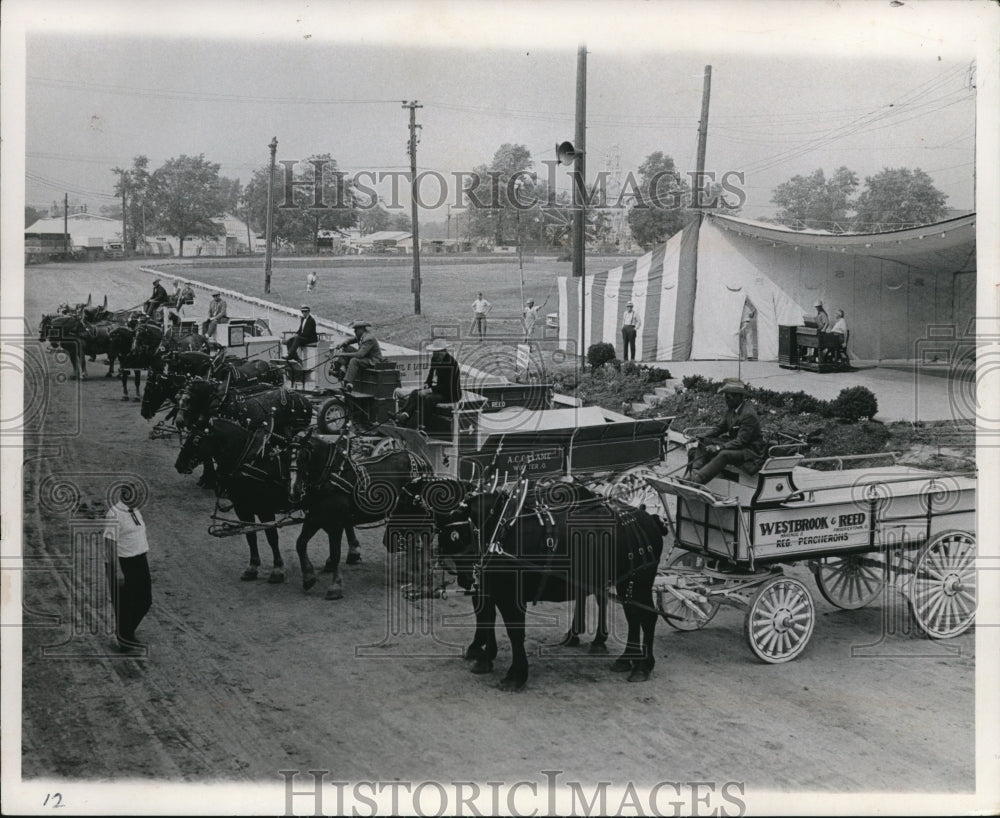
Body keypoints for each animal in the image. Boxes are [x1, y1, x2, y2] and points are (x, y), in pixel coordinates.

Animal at [176, 418, 294, 584]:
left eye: (197, 439)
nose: (178, 464)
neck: (251, 461)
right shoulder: (242, 508)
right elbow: (250, 535)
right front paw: (252, 566)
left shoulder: (265, 510)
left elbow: (271, 536)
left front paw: (277, 569)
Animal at [290, 430, 430, 596]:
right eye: (286, 455)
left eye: (304, 456)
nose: (295, 491)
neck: (330, 477)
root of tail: (420, 459)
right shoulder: (314, 518)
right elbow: (300, 544)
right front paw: (308, 578)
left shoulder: (336, 523)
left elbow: (335, 553)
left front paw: (336, 585)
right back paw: (409, 571)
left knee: (422, 540)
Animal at [422, 478, 664, 688]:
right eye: (444, 534)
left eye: (459, 533)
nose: (467, 577)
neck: (499, 532)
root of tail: (649, 518)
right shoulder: (490, 591)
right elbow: (487, 620)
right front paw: (485, 658)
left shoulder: (511, 597)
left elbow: (514, 632)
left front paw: (516, 674)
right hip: (625, 582)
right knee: (633, 616)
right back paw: (626, 657)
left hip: (640, 581)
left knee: (647, 617)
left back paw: (643, 665)